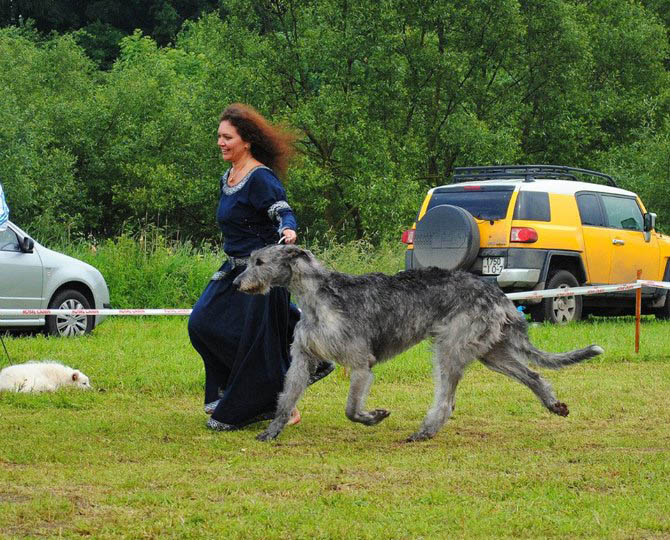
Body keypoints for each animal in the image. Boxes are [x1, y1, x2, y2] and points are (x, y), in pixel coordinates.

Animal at [234, 245, 608, 442]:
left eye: (260, 262)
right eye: (250, 260)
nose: (236, 283)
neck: (319, 297)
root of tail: (498, 294)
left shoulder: (361, 364)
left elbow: (351, 409)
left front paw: (374, 416)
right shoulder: (302, 358)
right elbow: (287, 396)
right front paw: (272, 430)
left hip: (451, 349)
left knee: (446, 400)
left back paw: (425, 431)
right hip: (490, 351)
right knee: (533, 375)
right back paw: (553, 404)